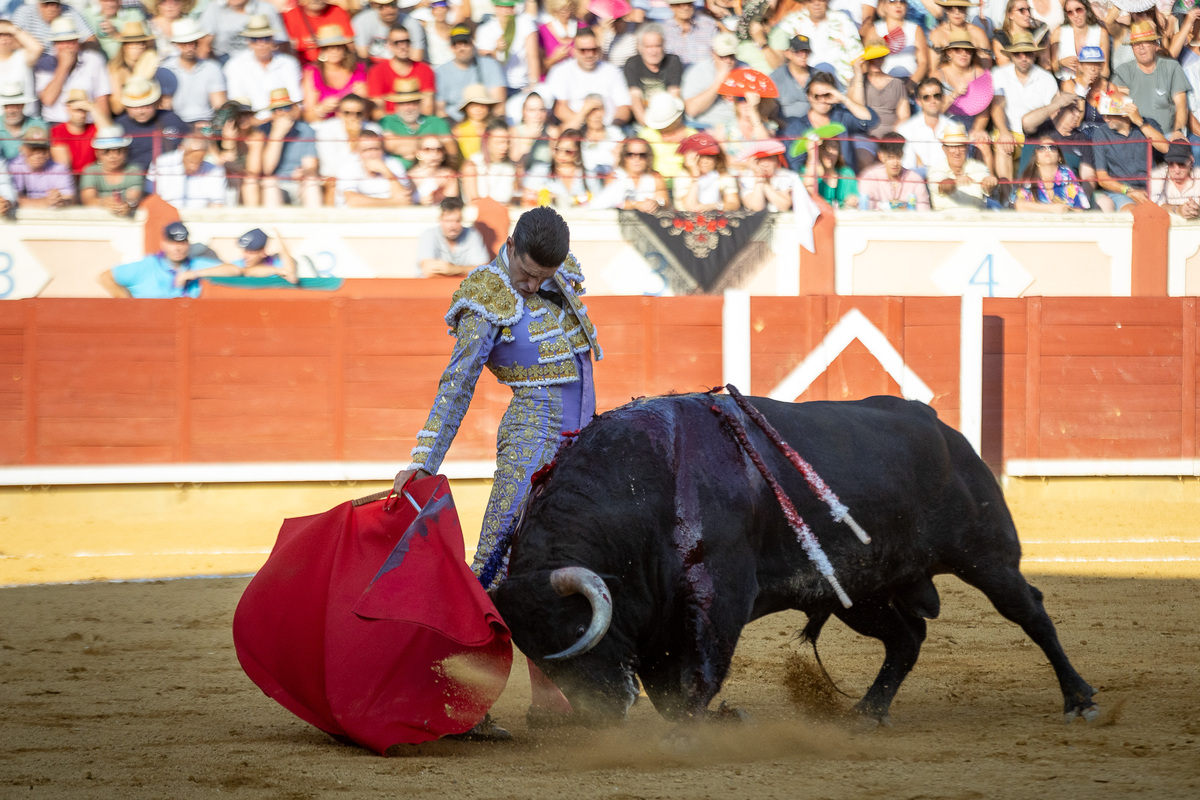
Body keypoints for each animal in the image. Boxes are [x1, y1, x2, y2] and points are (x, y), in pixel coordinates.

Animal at [487, 391, 1099, 729]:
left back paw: (1079, 700)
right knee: (906, 638)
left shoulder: (718, 597)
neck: (642, 487)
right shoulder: (662, 618)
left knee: (1030, 612)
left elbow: (696, 677)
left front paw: (702, 724)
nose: (603, 712)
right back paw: (868, 713)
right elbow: (667, 687)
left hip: (985, 555)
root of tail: (945, 430)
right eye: (537, 656)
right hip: (859, 592)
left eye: (578, 629)